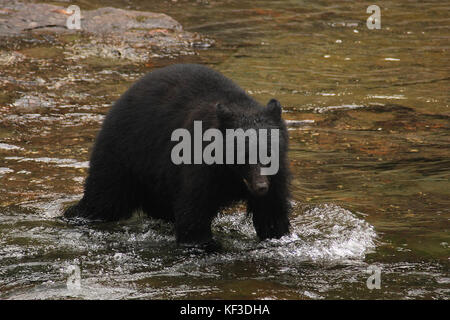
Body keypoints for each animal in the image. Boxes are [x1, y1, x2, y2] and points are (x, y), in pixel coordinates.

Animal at [66, 63, 292, 250]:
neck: (231, 174)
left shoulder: (277, 173)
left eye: (268, 153)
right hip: (124, 154)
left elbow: (272, 212)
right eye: (243, 154)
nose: (261, 187)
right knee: (104, 197)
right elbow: (193, 213)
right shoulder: (200, 165)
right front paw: (206, 245)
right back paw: (75, 215)